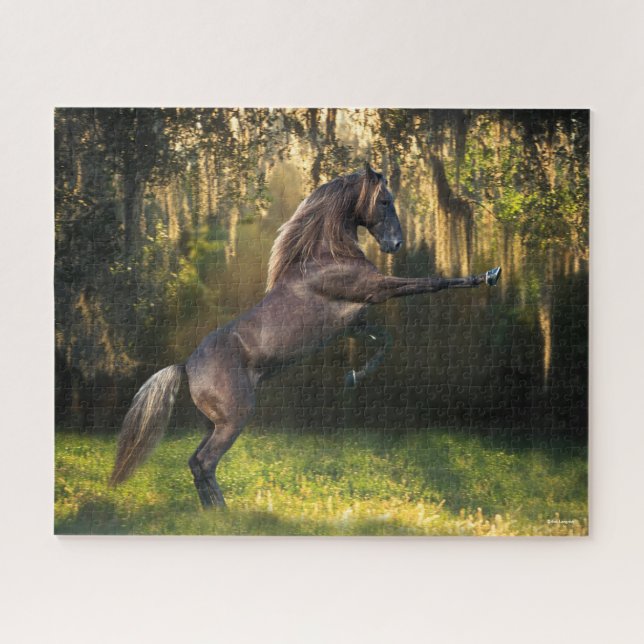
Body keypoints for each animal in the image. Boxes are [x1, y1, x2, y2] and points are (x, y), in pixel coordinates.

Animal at [110, 163, 501, 508]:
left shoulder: (355, 322)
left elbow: (384, 340)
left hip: (215, 422)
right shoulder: (377, 290)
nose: (396, 243)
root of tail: (186, 367)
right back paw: (223, 513)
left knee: (195, 463)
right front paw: (488, 275)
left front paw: (353, 376)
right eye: (385, 201)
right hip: (234, 418)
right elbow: (431, 282)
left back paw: (215, 513)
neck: (328, 255)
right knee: (205, 462)